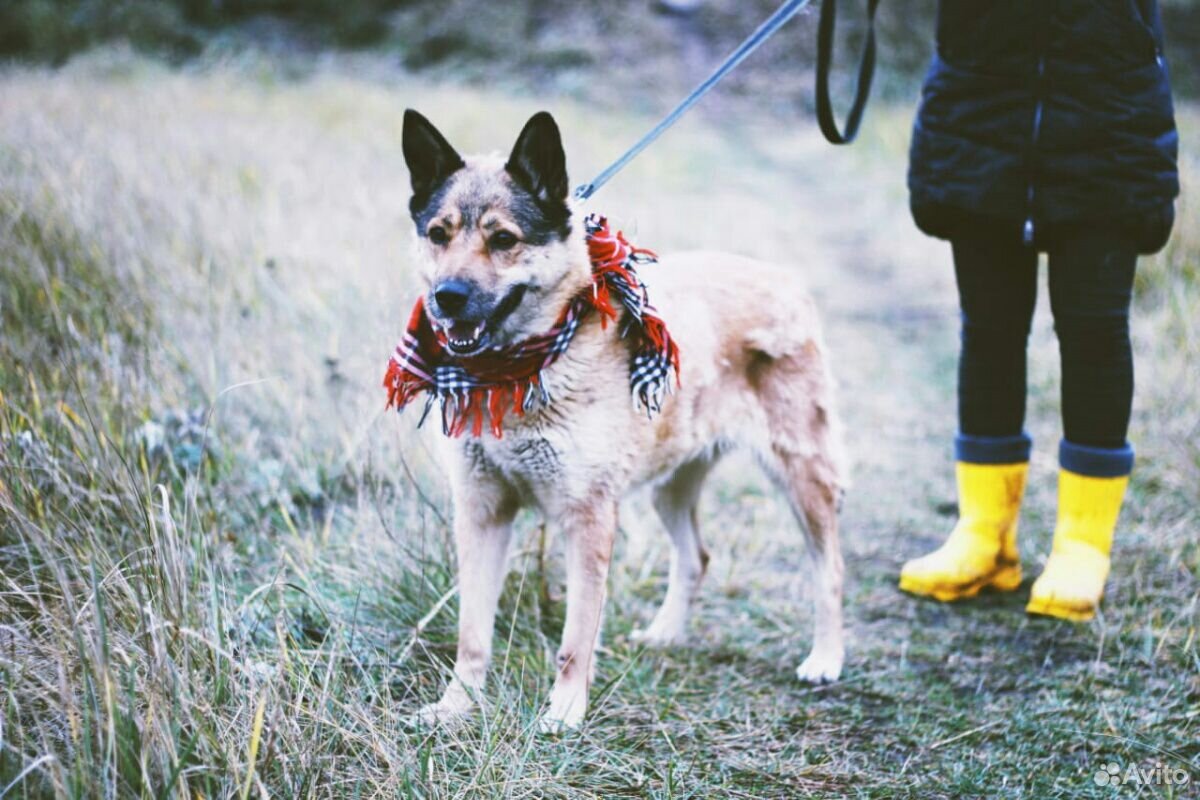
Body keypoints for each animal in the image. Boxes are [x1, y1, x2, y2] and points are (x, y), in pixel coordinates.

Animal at [396, 109, 844, 734]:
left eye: (503, 239)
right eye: (439, 234)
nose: (447, 297)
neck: (524, 369)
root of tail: (783, 280)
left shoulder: (587, 519)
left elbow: (575, 640)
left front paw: (564, 713)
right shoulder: (481, 512)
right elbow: (472, 633)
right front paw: (457, 705)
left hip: (802, 479)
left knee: (830, 569)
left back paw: (826, 658)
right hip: (669, 488)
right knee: (696, 557)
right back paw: (665, 634)